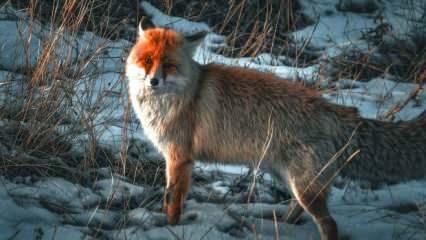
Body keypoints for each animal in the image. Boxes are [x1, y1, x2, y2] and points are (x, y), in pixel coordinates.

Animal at [125, 24, 426, 240]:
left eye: (169, 65)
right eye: (147, 60)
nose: (153, 81)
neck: (183, 95)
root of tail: (336, 111)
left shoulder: (180, 157)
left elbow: (173, 202)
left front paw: (170, 228)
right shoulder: (173, 158)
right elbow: (169, 197)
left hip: (304, 185)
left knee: (330, 224)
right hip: (291, 178)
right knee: (299, 210)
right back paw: (280, 225)